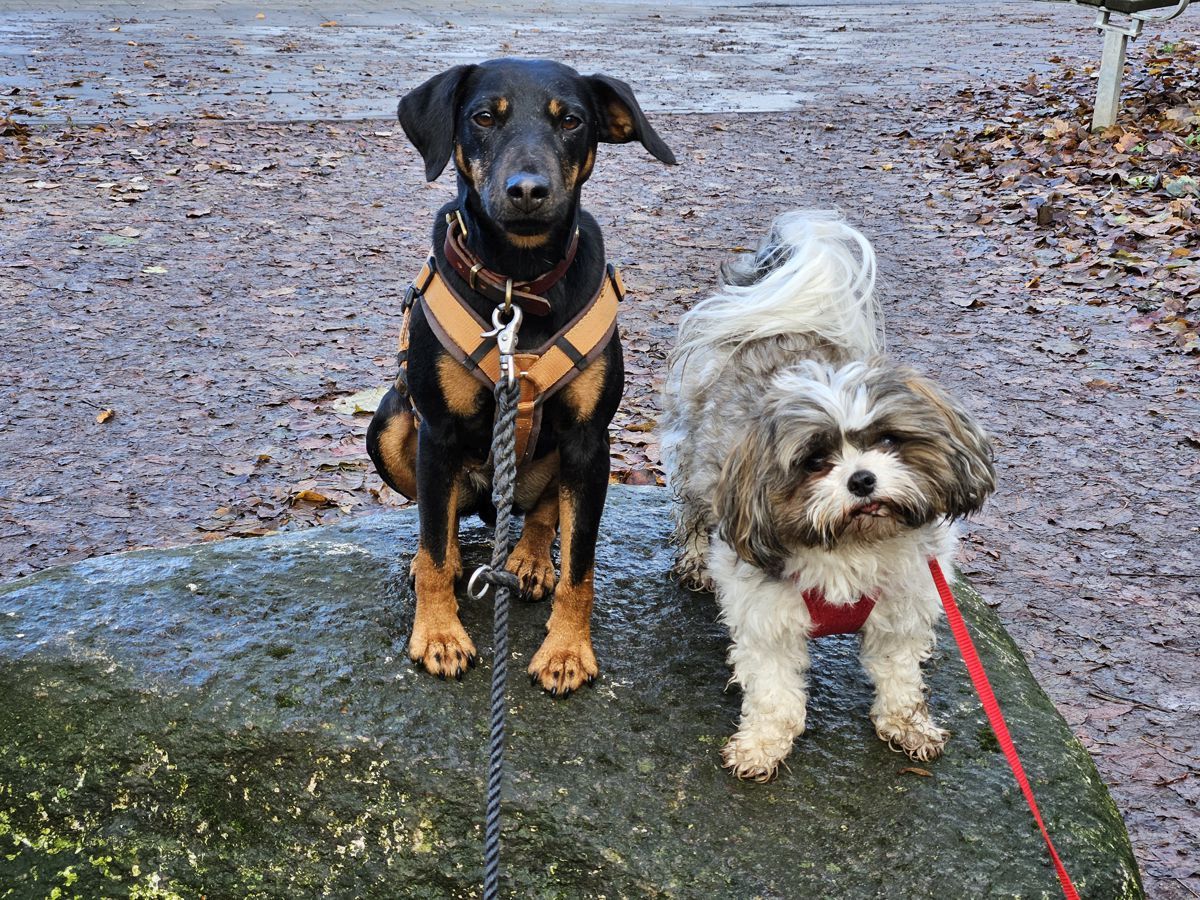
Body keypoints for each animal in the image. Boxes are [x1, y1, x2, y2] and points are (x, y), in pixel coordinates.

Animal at [367, 60, 676, 696]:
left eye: (572, 120)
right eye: (485, 116)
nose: (528, 191)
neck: (519, 283)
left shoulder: (590, 442)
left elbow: (580, 564)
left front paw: (567, 650)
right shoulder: (437, 430)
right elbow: (435, 546)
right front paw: (438, 633)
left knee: (540, 515)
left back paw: (529, 559)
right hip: (389, 422)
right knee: (441, 519)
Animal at [667, 210, 993, 782]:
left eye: (887, 441)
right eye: (816, 461)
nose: (861, 479)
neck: (851, 544)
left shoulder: (904, 604)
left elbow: (899, 674)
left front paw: (907, 723)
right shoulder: (767, 615)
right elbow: (775, 692)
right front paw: (762, 745)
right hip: (695, 459)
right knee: (692, 510)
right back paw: (694, 560)